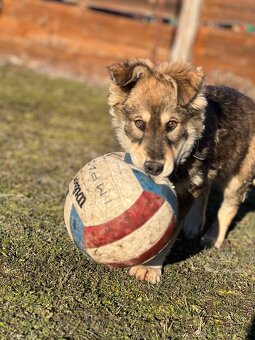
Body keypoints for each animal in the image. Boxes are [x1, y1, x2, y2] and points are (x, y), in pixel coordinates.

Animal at [106, 59, 255, 282]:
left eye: (172, 124)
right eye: (139, 123)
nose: (153, 167)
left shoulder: (186, 191)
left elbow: (166, 236)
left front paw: (149, 268)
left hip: (240, 175)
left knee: (229, 206)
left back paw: (213, 237)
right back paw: (194, 225)